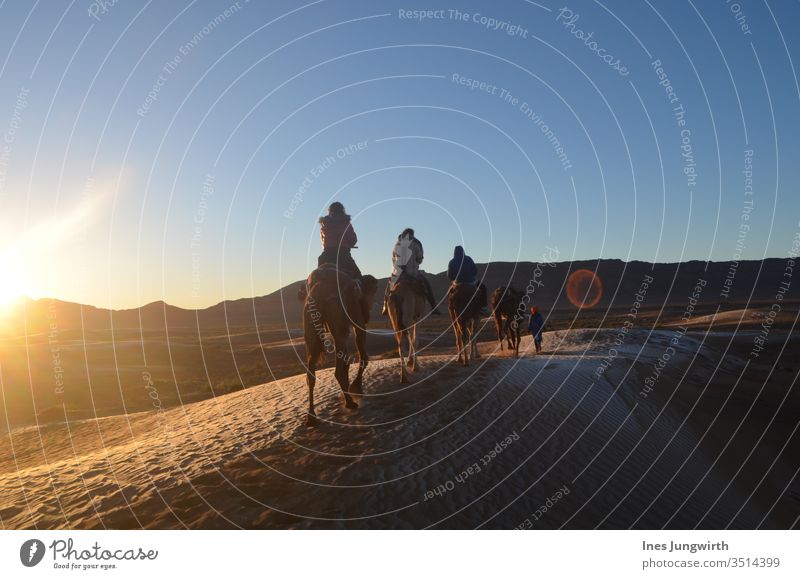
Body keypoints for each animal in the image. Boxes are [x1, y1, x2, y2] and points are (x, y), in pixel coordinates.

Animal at [300, 268, 378, 426]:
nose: (372, 305)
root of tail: (319, 291)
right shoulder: (358, 318)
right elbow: (363, 356)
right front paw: (356, 387)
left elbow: (347, 363)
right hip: (337, 320)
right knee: (338, 371)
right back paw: (349, 402)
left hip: (310, 323)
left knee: (311, 372)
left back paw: (311, 416)